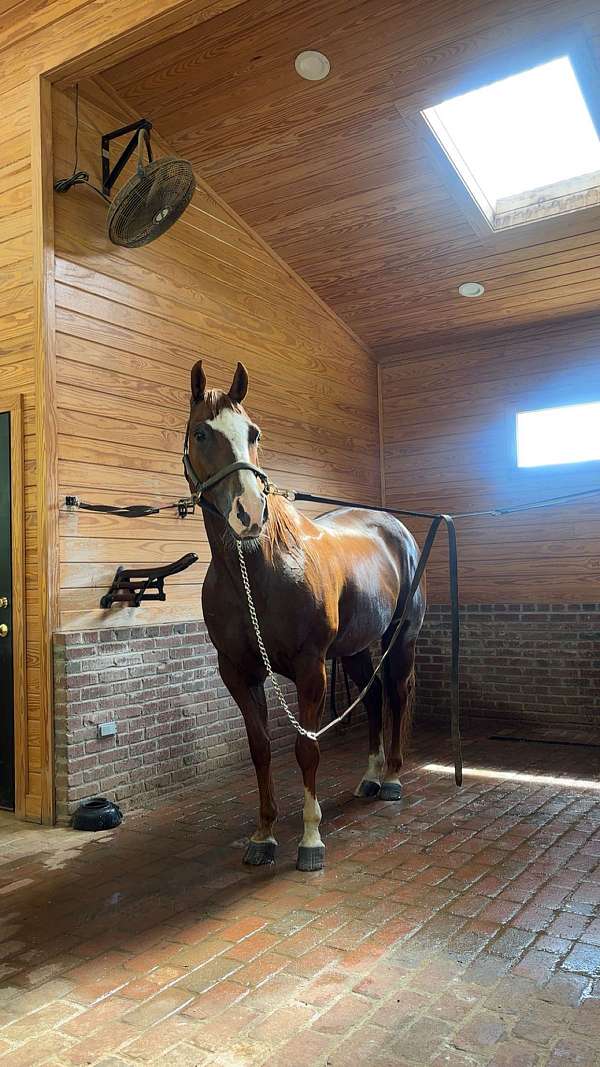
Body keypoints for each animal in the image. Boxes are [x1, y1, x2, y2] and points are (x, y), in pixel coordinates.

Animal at [185, 360, 426, 871]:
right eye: (201, 433)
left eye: (253, 432)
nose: (248, 513)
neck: (257, 568)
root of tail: (395, 527)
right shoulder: (237, 672)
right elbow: (260, 749)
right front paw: (263, 834)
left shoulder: (311, 667)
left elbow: (307, 748)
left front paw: (311, 839)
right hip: (354, 649)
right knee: (373, 697)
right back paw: (370, 777)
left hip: (401, 638)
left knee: (396, 694)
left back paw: (392, 778)